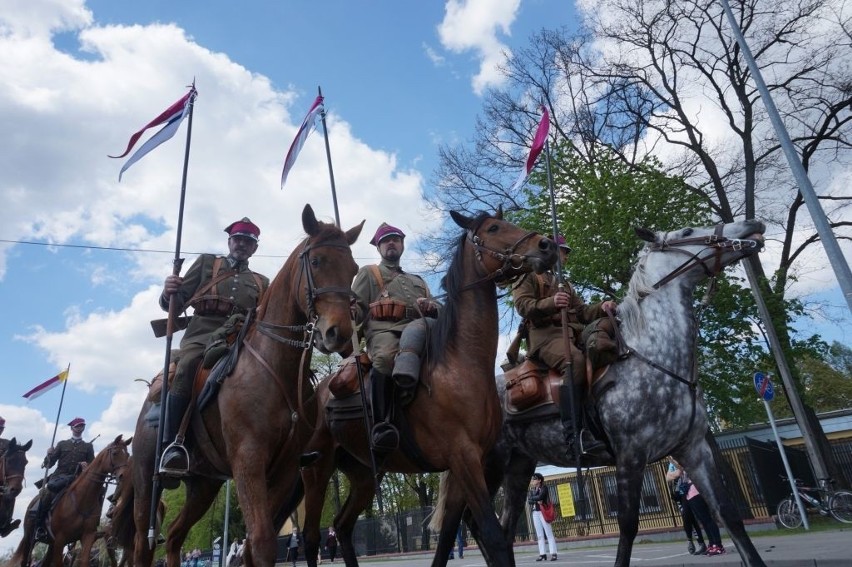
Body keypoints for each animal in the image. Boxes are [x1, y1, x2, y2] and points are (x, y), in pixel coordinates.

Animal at [10, 434, 131, 567]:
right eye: (115, 453)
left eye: (128, 455)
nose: (125, 476)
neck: (82, 500)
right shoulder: (60, 539)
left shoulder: (87, 536)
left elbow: (84, 561)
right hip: (29, 538)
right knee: (25, 559)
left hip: (51, 544)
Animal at [125, 204, 364, 567]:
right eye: (317, 261)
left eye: (353, 269)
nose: (339, 333)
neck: (274, 366)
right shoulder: (248, 461)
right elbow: (262, 541)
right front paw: (171, 289)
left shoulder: (284, 469)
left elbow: (252, 545)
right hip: (143, 480)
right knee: (143, 541)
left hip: (203, 485)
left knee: (176, 535)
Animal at [294, 209, 560, 567]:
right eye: (494, 228)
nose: (546, 246)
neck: (461, 363)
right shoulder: (464, 458)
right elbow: (493, 536)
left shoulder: (466, 464)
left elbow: (446, 538)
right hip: (317, 470)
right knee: (311, 536)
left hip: (365, 474)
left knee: (343, 525)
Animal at [430, 219, 768, 567]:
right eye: (687, 232)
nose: (752, 224)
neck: (656, 358)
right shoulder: (631, 455)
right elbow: (628, 526)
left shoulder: (694, 451)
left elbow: (728, 515)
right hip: (486, 463)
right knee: (474, 522)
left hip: (519, 467)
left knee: (502, 526)